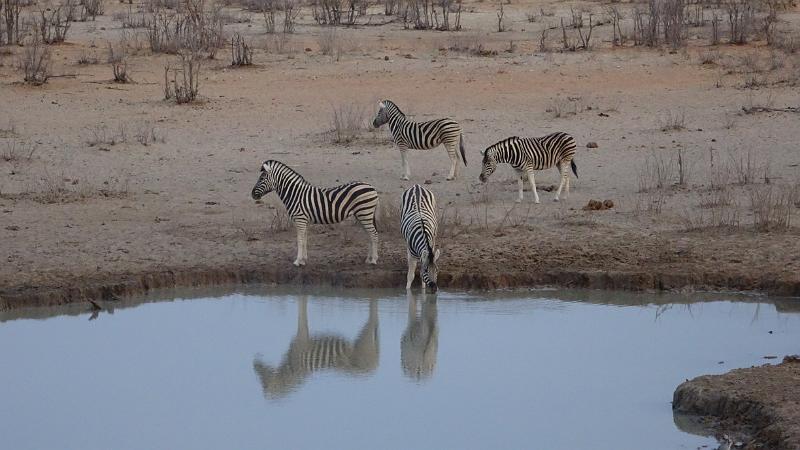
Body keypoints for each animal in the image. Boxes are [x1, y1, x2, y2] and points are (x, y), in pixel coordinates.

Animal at [252, 161, 380, 268]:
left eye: (262, 178)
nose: (252, 194)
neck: (295, 194)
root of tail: (371, 186)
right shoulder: (304, 220)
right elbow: (304, 239)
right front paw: (303, 260)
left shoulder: (300, 219)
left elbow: (299, 240)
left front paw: (297, 261)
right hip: (361, 215)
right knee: (369, 235)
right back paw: (368, 259)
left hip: (365, 213)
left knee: (373, 235)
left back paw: (374, 259)